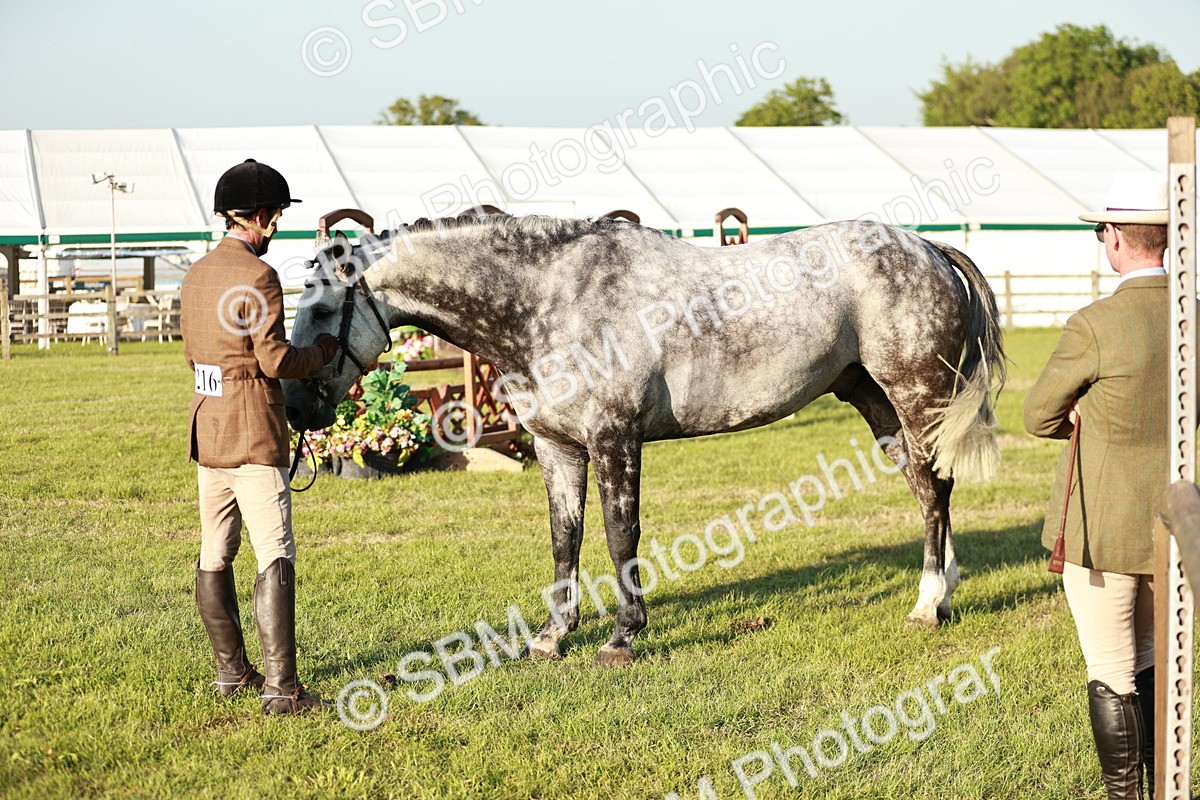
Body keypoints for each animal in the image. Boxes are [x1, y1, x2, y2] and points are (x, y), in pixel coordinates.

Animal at [282, 214, 1005, 667]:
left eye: (322, 308)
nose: (295, 407)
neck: (549, 297)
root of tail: (930, 249)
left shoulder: (614, 440)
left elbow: (618, 535)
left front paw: (623, 637)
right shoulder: (557, 448)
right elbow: (565, 539)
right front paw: (552, 637)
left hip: (915, 396)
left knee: (935, 488)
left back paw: (928, 604)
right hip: (875, 402)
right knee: (926, 488)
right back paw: (944, 587)